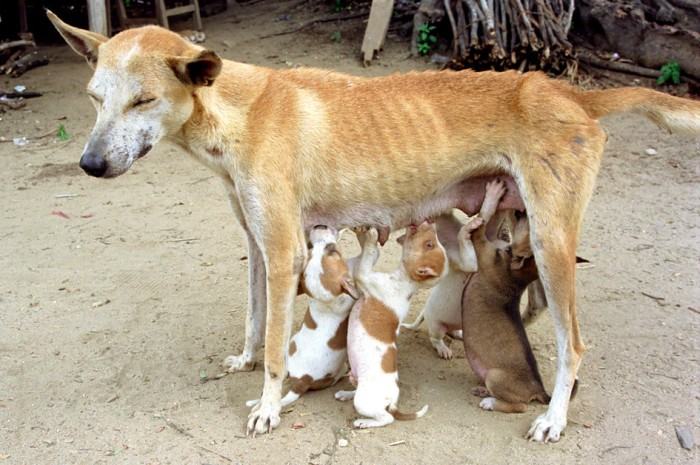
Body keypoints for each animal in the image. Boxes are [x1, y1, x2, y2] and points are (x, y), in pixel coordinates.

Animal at [334, 223, 446, 430]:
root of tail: (392, 401)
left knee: (386, 418)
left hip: (365, 401)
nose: (431, 223)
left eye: (429, 244)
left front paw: (370, 235)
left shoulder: (364, 275)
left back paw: (363, 422)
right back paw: (345, 394)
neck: (406, 282)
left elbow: (369, 253)